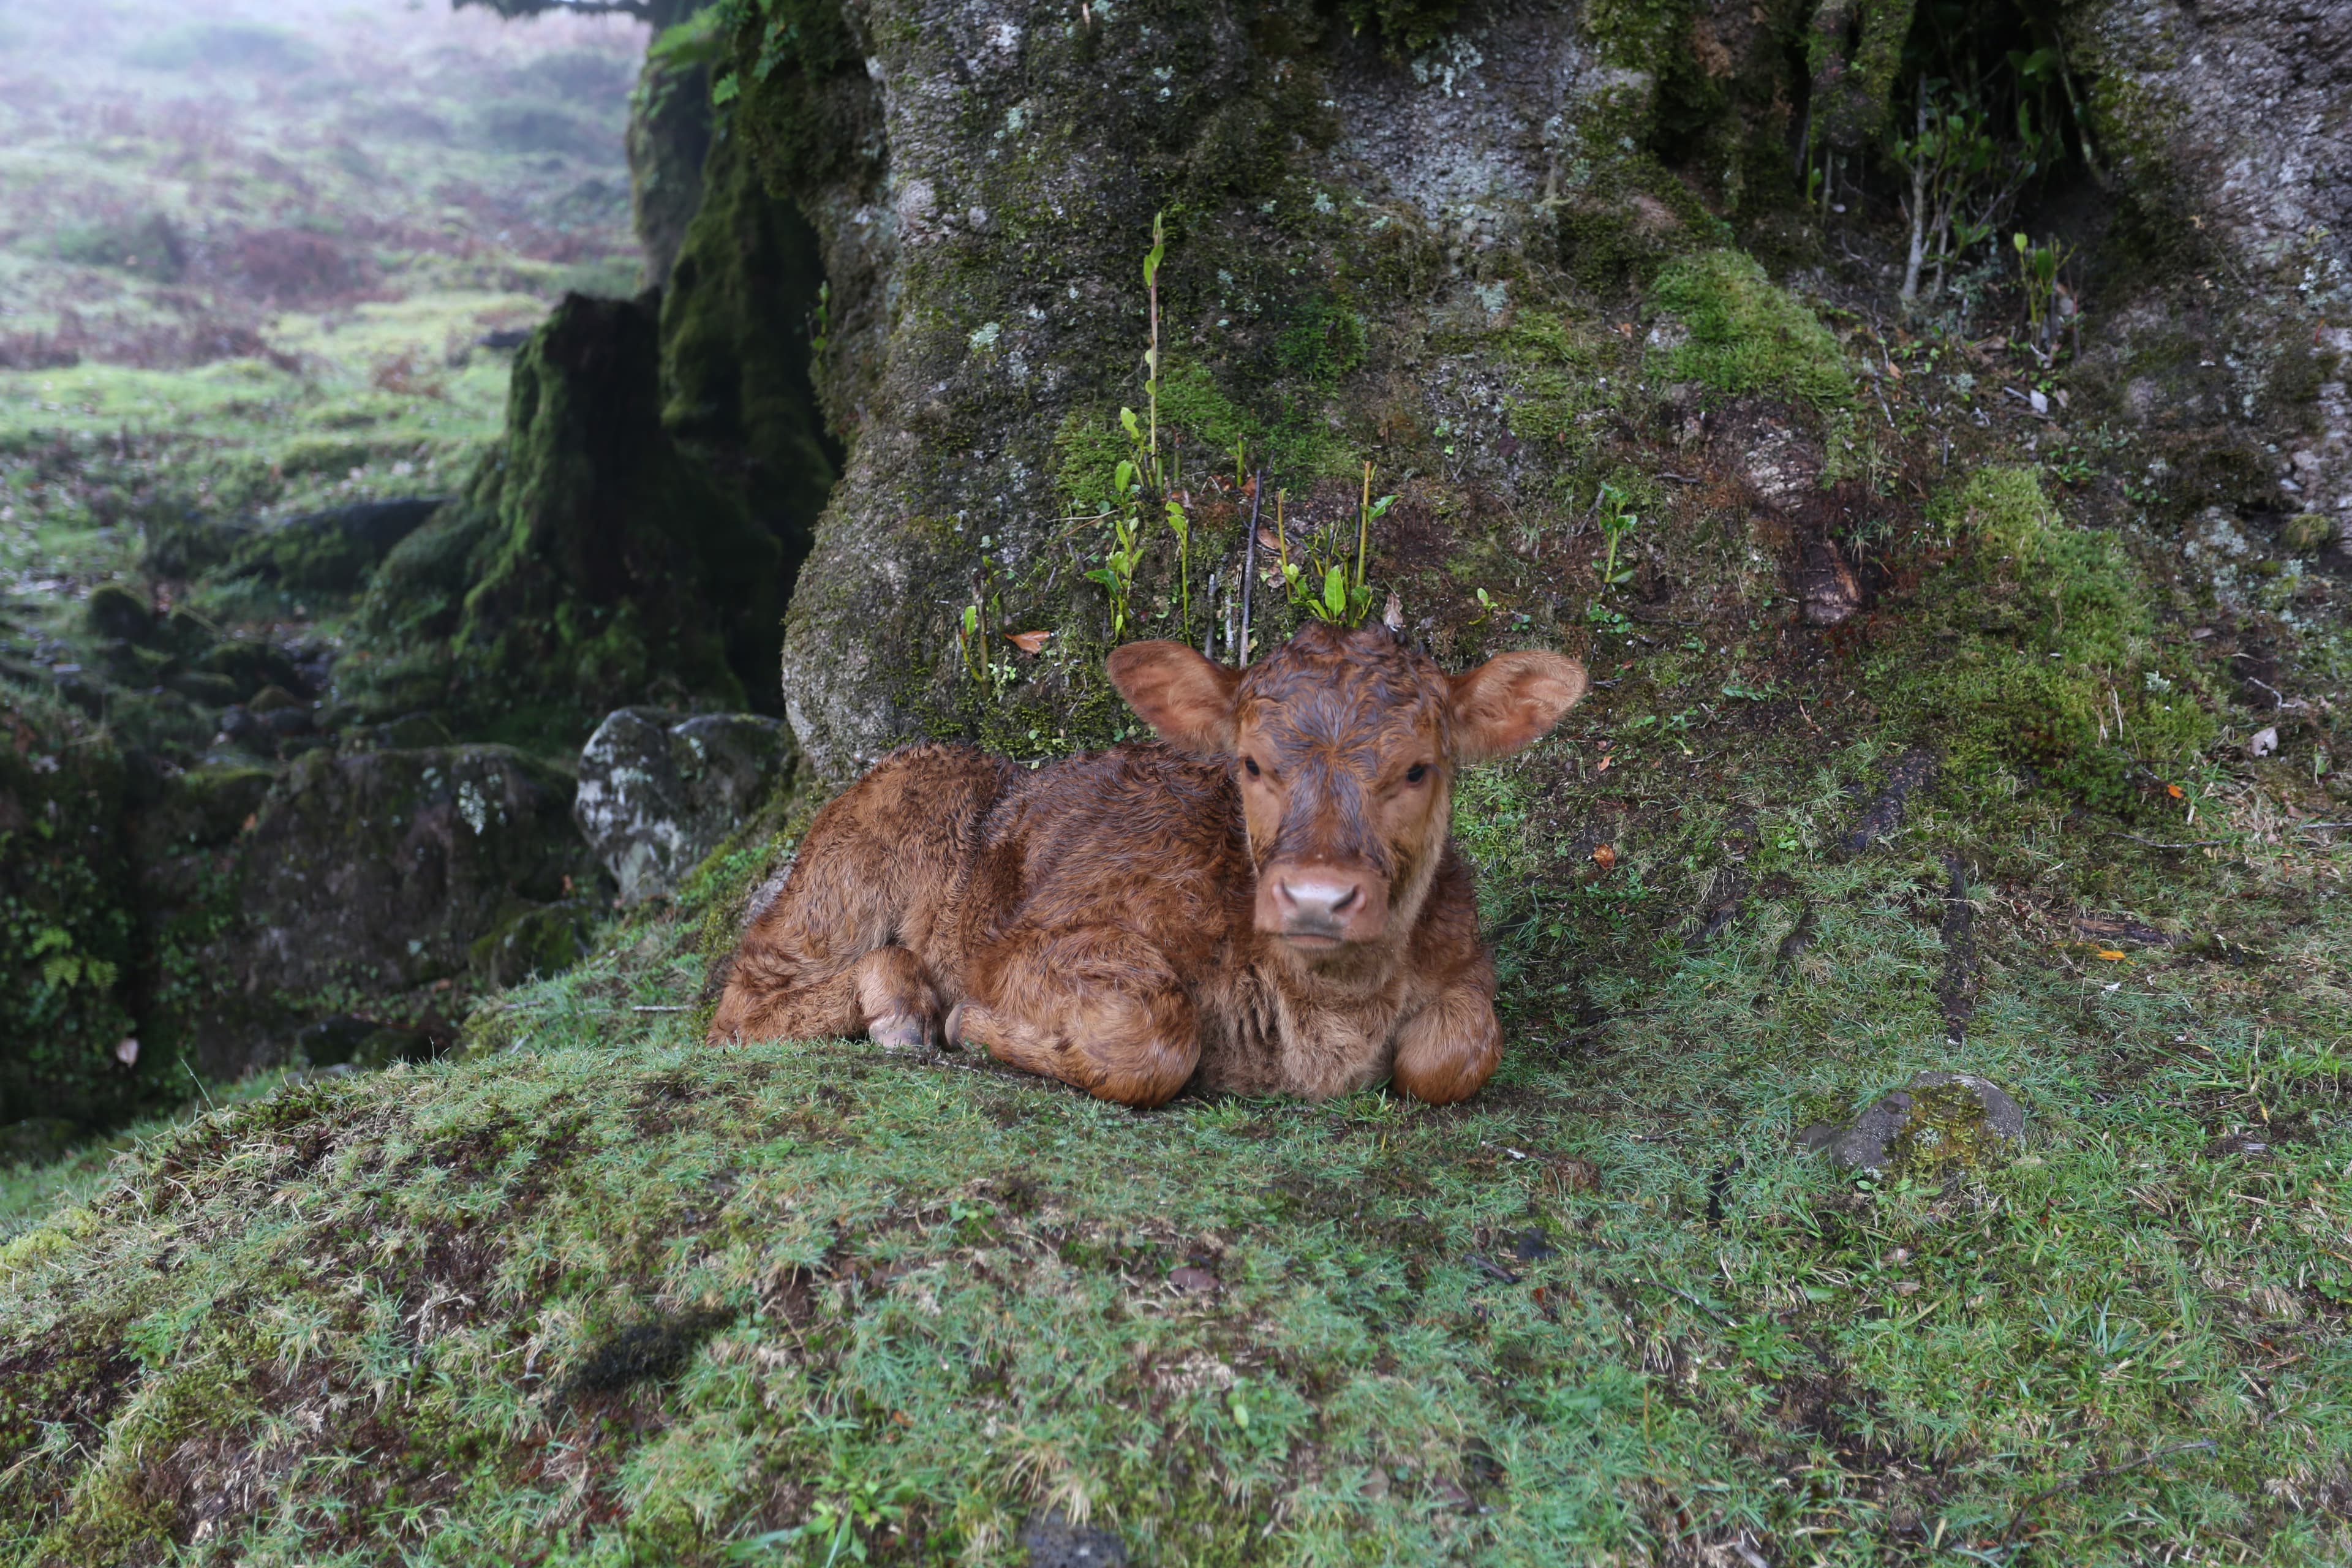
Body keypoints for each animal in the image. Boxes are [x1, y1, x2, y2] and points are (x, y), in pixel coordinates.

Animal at [710, 622, 1588, 1107]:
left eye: (1417, 769)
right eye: (1251, 764)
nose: (1316, 895)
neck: (1326, 1013)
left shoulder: (1466, 961)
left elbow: (1462, 1050)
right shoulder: (1038, 945)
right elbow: (1156, 1036)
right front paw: (970, 1023)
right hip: (883, 828)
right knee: (742, 1004)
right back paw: (901, 1004)